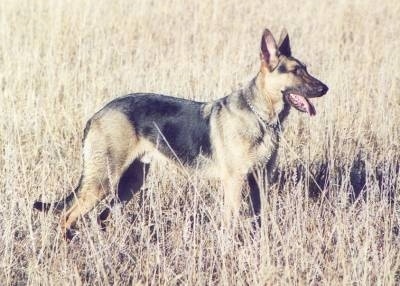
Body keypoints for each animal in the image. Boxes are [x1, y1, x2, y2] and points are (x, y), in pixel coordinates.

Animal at [33, 29, 328, 239]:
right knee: (67, 216)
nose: (325, 88)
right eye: (295, 71)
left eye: (306, 68)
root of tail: (97, 114)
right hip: (103, 181)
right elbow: (231, 222)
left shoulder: (261, 180)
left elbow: (259, 219)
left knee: (101, 216)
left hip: (131, 182)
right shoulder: (234, 182)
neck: (260, 116)